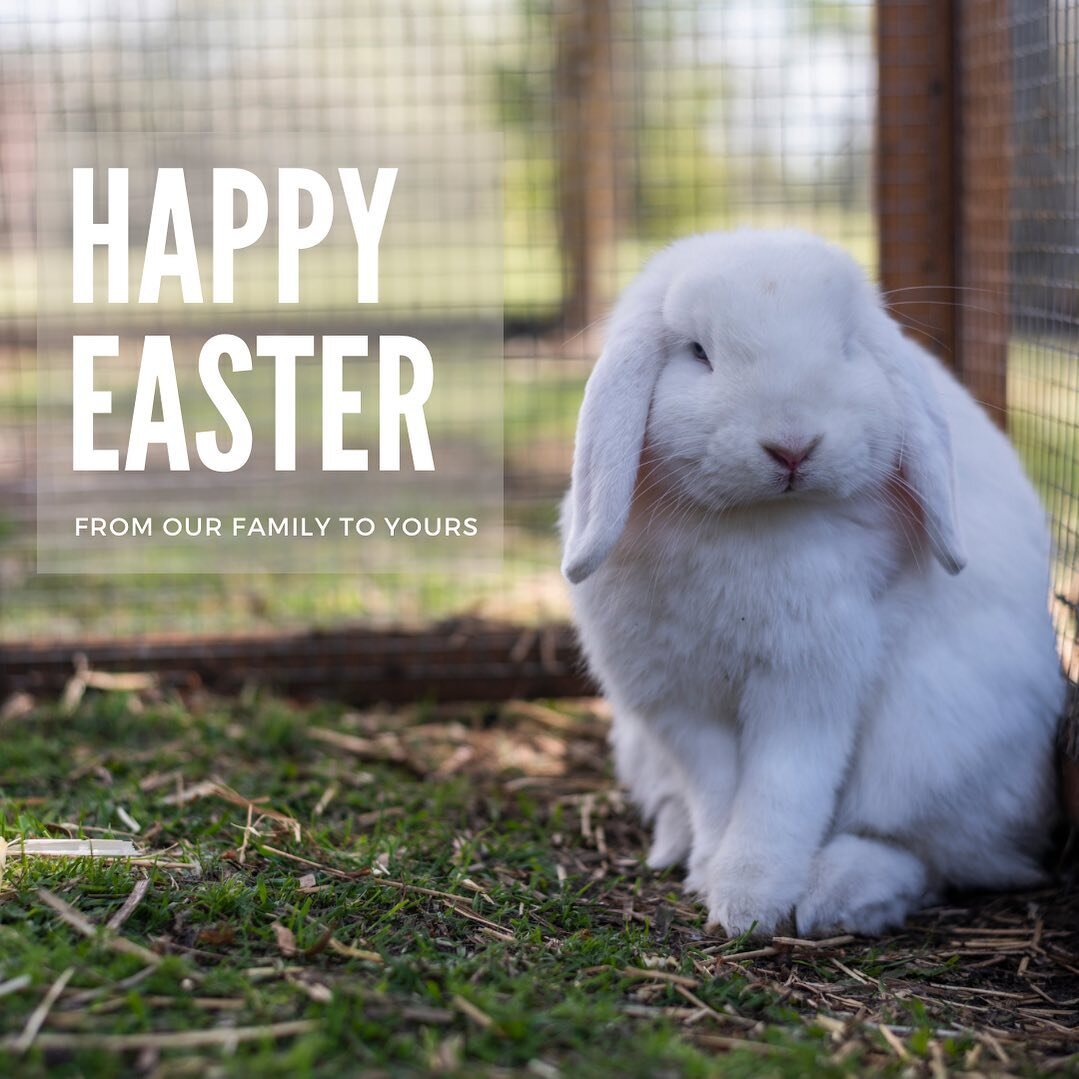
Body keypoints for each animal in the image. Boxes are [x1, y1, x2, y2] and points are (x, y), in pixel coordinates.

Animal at [561, 227, 1066, 936]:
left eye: (848, 348)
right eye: (698, 354)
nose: (793, 445)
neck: (754, 520)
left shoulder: (809, 683)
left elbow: (781, 791)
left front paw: (749, 902)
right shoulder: (676, 700)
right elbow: (716, 790)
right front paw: (713, 871)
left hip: (932, 745)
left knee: (930, 854)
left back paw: (838, 892)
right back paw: (679, 845)